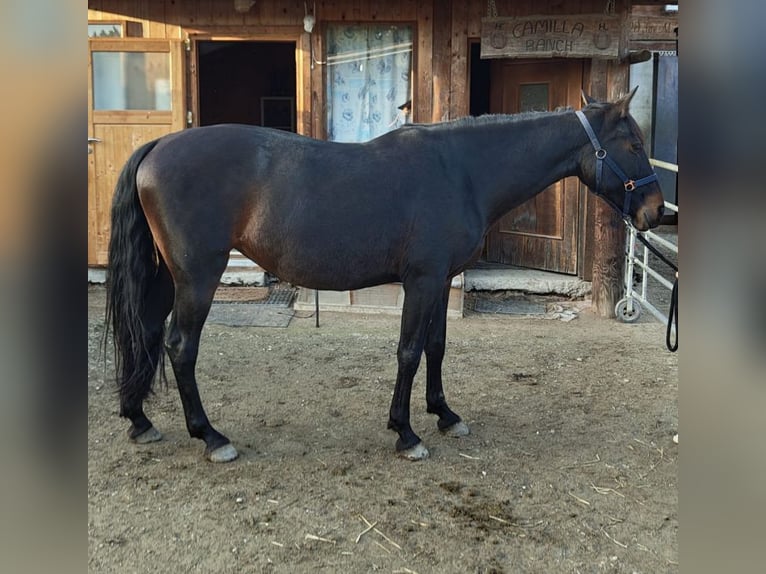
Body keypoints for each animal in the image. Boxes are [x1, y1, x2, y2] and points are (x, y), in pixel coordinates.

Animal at [106, 89, 664, 464]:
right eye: (634, 143)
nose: (656, 212)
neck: (461, 170)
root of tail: (158, 145)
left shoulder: (441, 281)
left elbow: (437, 347)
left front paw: (445, 415)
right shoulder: (421, 280)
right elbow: (409, 352)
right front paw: (406, 433)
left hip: (167, 276)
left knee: (148, 334)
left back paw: (140, 420)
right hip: (198, 277)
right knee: (181, 347)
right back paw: (212, 437)